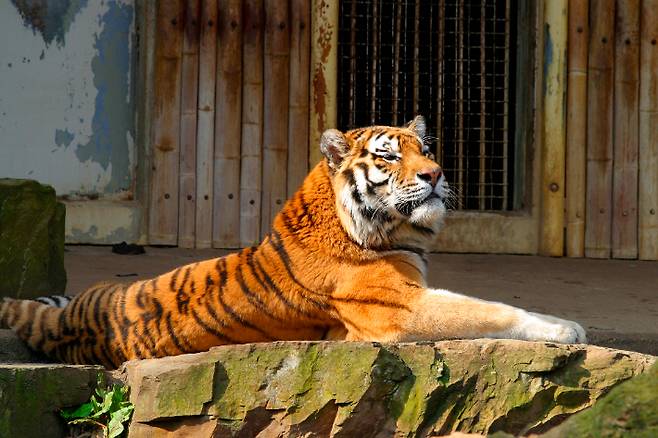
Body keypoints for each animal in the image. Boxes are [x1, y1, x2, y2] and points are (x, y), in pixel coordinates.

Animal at [0, 117, 584, 370]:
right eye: (391, 155)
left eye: (426, 150)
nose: (437, 174)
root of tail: (72, 322)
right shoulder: (398, 309)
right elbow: (493, 310)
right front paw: (566, 328)